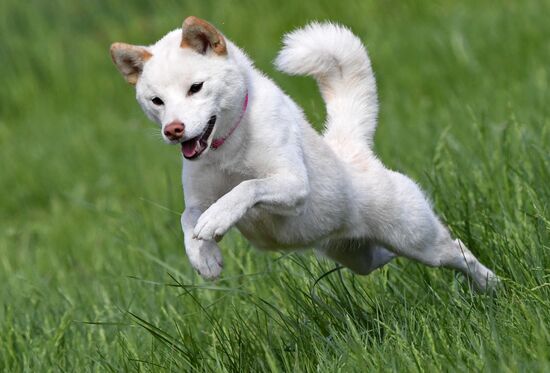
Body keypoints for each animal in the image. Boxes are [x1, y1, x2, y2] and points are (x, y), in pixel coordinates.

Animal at [111, 16, 500, 290]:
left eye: (196, 87)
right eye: (156, 101)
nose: (173, 130)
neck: (228, 147)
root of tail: (352, 150)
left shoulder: (293, 184)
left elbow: (246, 188)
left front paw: (218, 219)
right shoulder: (197, 199)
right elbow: (187, 219)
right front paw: (204, 258)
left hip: (419, 240)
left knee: (457, 250)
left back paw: (492, 285)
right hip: (358, 256)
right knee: (383, 256)